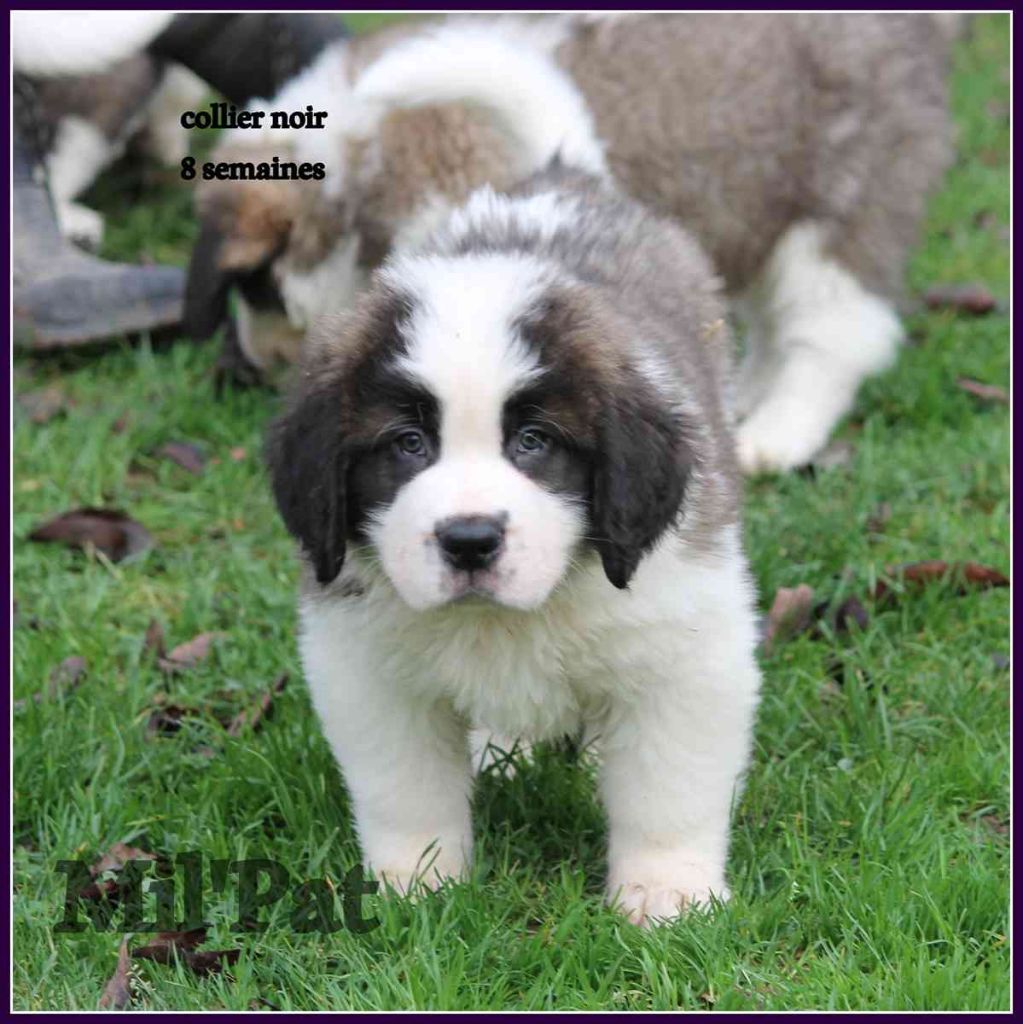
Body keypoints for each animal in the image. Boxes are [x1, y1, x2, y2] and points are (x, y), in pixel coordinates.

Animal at [266, 164, 762, 927]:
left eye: (534, 442)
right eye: (407, 445)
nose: (470, 541)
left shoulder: (684, 649)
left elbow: (668, 784)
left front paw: (666, 892)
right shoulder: (367, 666)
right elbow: (405, 787)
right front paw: (415, 882)